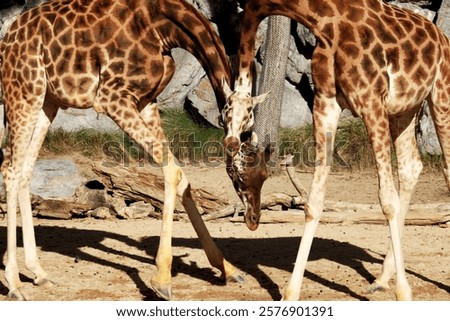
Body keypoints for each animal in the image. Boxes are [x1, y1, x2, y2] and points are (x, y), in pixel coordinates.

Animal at [0, 0, 256, 300]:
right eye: (241, 176)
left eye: (250, 130)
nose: (253, 220)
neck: (164, 27)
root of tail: (8, 38)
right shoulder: (112, 98)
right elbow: (173, 173)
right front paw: (162, 279)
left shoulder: (146, 101)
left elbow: (181, 176)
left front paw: (228, 268)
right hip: (25, 91)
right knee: (11, 169)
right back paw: (15, 284)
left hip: (47, 100)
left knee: (25, 170)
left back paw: (38, 273)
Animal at [225, 0, 450, 300]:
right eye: (226, 114)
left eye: (245, 116)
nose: (251, 221)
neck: (326, 21)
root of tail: (441, 36)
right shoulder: (326, 104)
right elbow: (313, 202)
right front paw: (290, 294)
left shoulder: (371, 102)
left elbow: (386, 199)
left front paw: (404, 293)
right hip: (405, 109)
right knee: (411, 166)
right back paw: (382, 277)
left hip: (440, 93)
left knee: (445, 167)